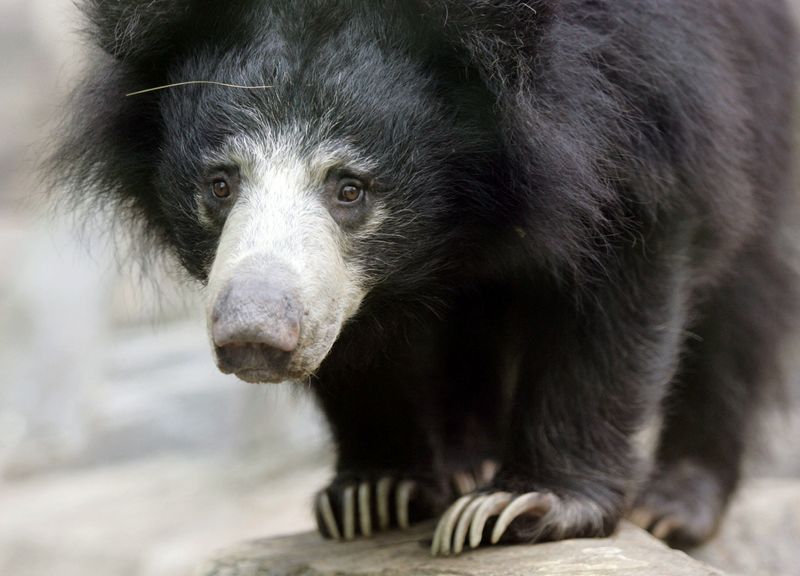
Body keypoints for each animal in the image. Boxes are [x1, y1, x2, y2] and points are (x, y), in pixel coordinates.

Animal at [53, 0, 796, 556]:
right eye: (220, 182)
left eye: (350, 188)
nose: (255, 336)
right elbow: (360, 346)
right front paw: (376, 494)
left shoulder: (644, 92)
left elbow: (621, 276)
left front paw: (522, 505)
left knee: (742, 305)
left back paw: (675, 505)